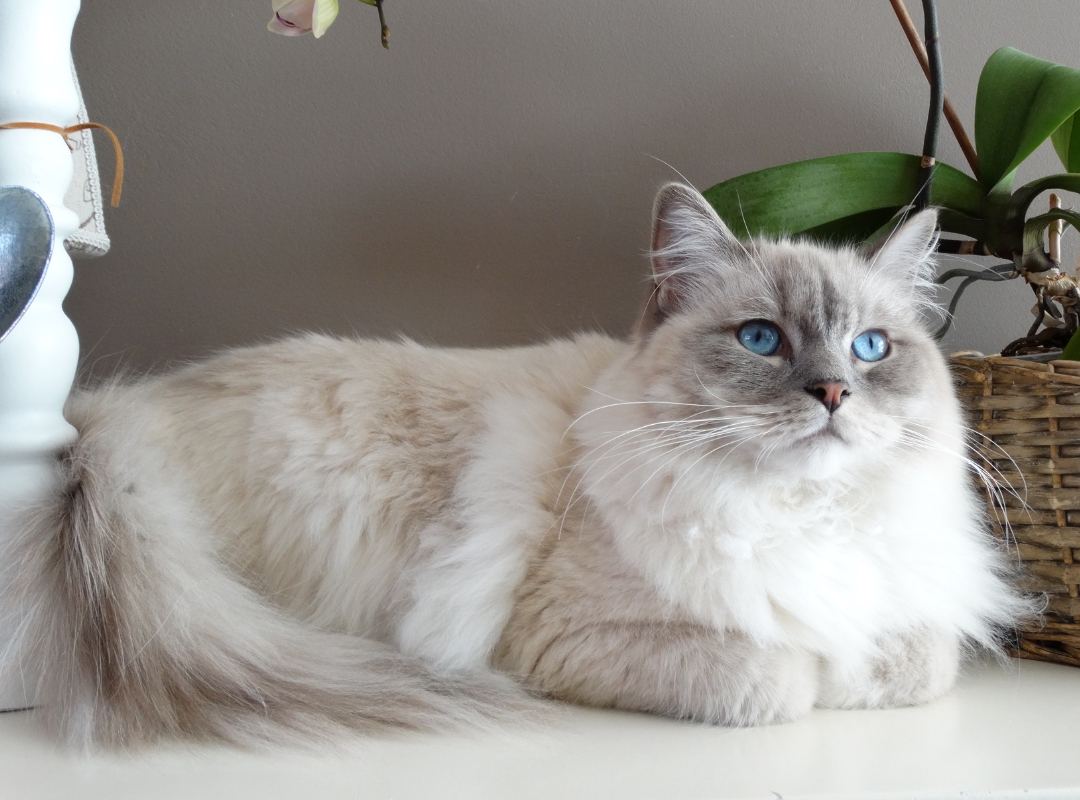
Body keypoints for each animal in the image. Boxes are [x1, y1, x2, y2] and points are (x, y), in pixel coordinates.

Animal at [2, 182, 1028, 747]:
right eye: (762, 340)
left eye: (870, 348)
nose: (833, 393)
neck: (797, 517)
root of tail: (115, 413)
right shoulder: (560, 636)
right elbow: (782, 675)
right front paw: (818, 676)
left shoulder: (906, 622)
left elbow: (912, 660)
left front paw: (856, 672)